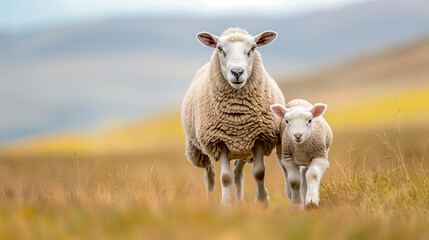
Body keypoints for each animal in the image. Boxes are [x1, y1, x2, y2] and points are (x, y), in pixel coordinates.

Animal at [181, 27, 284, 205]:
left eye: (253, 48)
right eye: (220, 49)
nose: (237, 72)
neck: (237, 115)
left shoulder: (258, 138)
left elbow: (259, 173)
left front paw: (262, 201)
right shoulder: (218, 141)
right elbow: (225, 177)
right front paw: (225, 205)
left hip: (242, 148)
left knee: (238, 173)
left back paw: (240, 202)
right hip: (201, 148)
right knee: (210, 175)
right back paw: (211, 200)